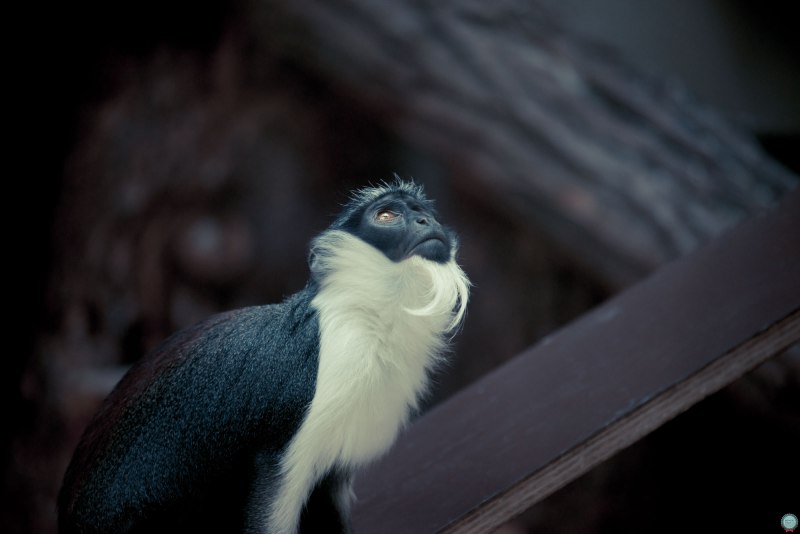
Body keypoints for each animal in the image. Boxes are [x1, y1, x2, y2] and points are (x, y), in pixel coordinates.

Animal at [58, 180, 470, 534]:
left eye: (422, 212)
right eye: (386, 216)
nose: (426, 222)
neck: (371, 319)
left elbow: (330, 487)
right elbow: (275, 487)